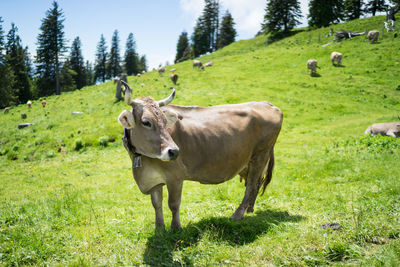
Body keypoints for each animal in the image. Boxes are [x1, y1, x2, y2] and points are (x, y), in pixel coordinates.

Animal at [117, 80, 282, 229]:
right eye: (146, 122)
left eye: (164, 121)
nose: (174, 151)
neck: (144, 163)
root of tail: (267, 104)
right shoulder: (153, 179)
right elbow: (156, 204)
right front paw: (159, 228)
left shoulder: (175, 176)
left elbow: (173, 204)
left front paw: (176, 227)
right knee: (255, 183)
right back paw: (249, 209)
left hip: (260, 155)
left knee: (252, 185)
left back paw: (238, 214)